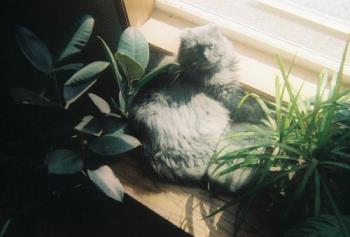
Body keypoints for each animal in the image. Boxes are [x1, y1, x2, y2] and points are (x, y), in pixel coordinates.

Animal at [130, 24, 262, 192]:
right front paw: (265, 112)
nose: (205, 56)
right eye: (197, 49)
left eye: (211, 46)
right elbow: (250, 107)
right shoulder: (228, 99)